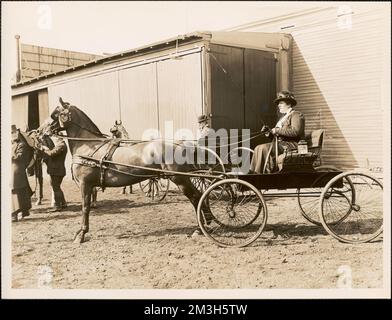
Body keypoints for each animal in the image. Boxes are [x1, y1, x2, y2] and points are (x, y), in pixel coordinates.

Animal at [48, 97, 210, 242]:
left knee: (196, 197)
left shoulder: (85, 184)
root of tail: (180, 145)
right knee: (199, 196)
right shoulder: (89, 185)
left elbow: (85, 208)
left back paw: (200, 228)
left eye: (56, 114)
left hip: (180, 178)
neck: (89, 147)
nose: (46, 129)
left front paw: (81, 234)